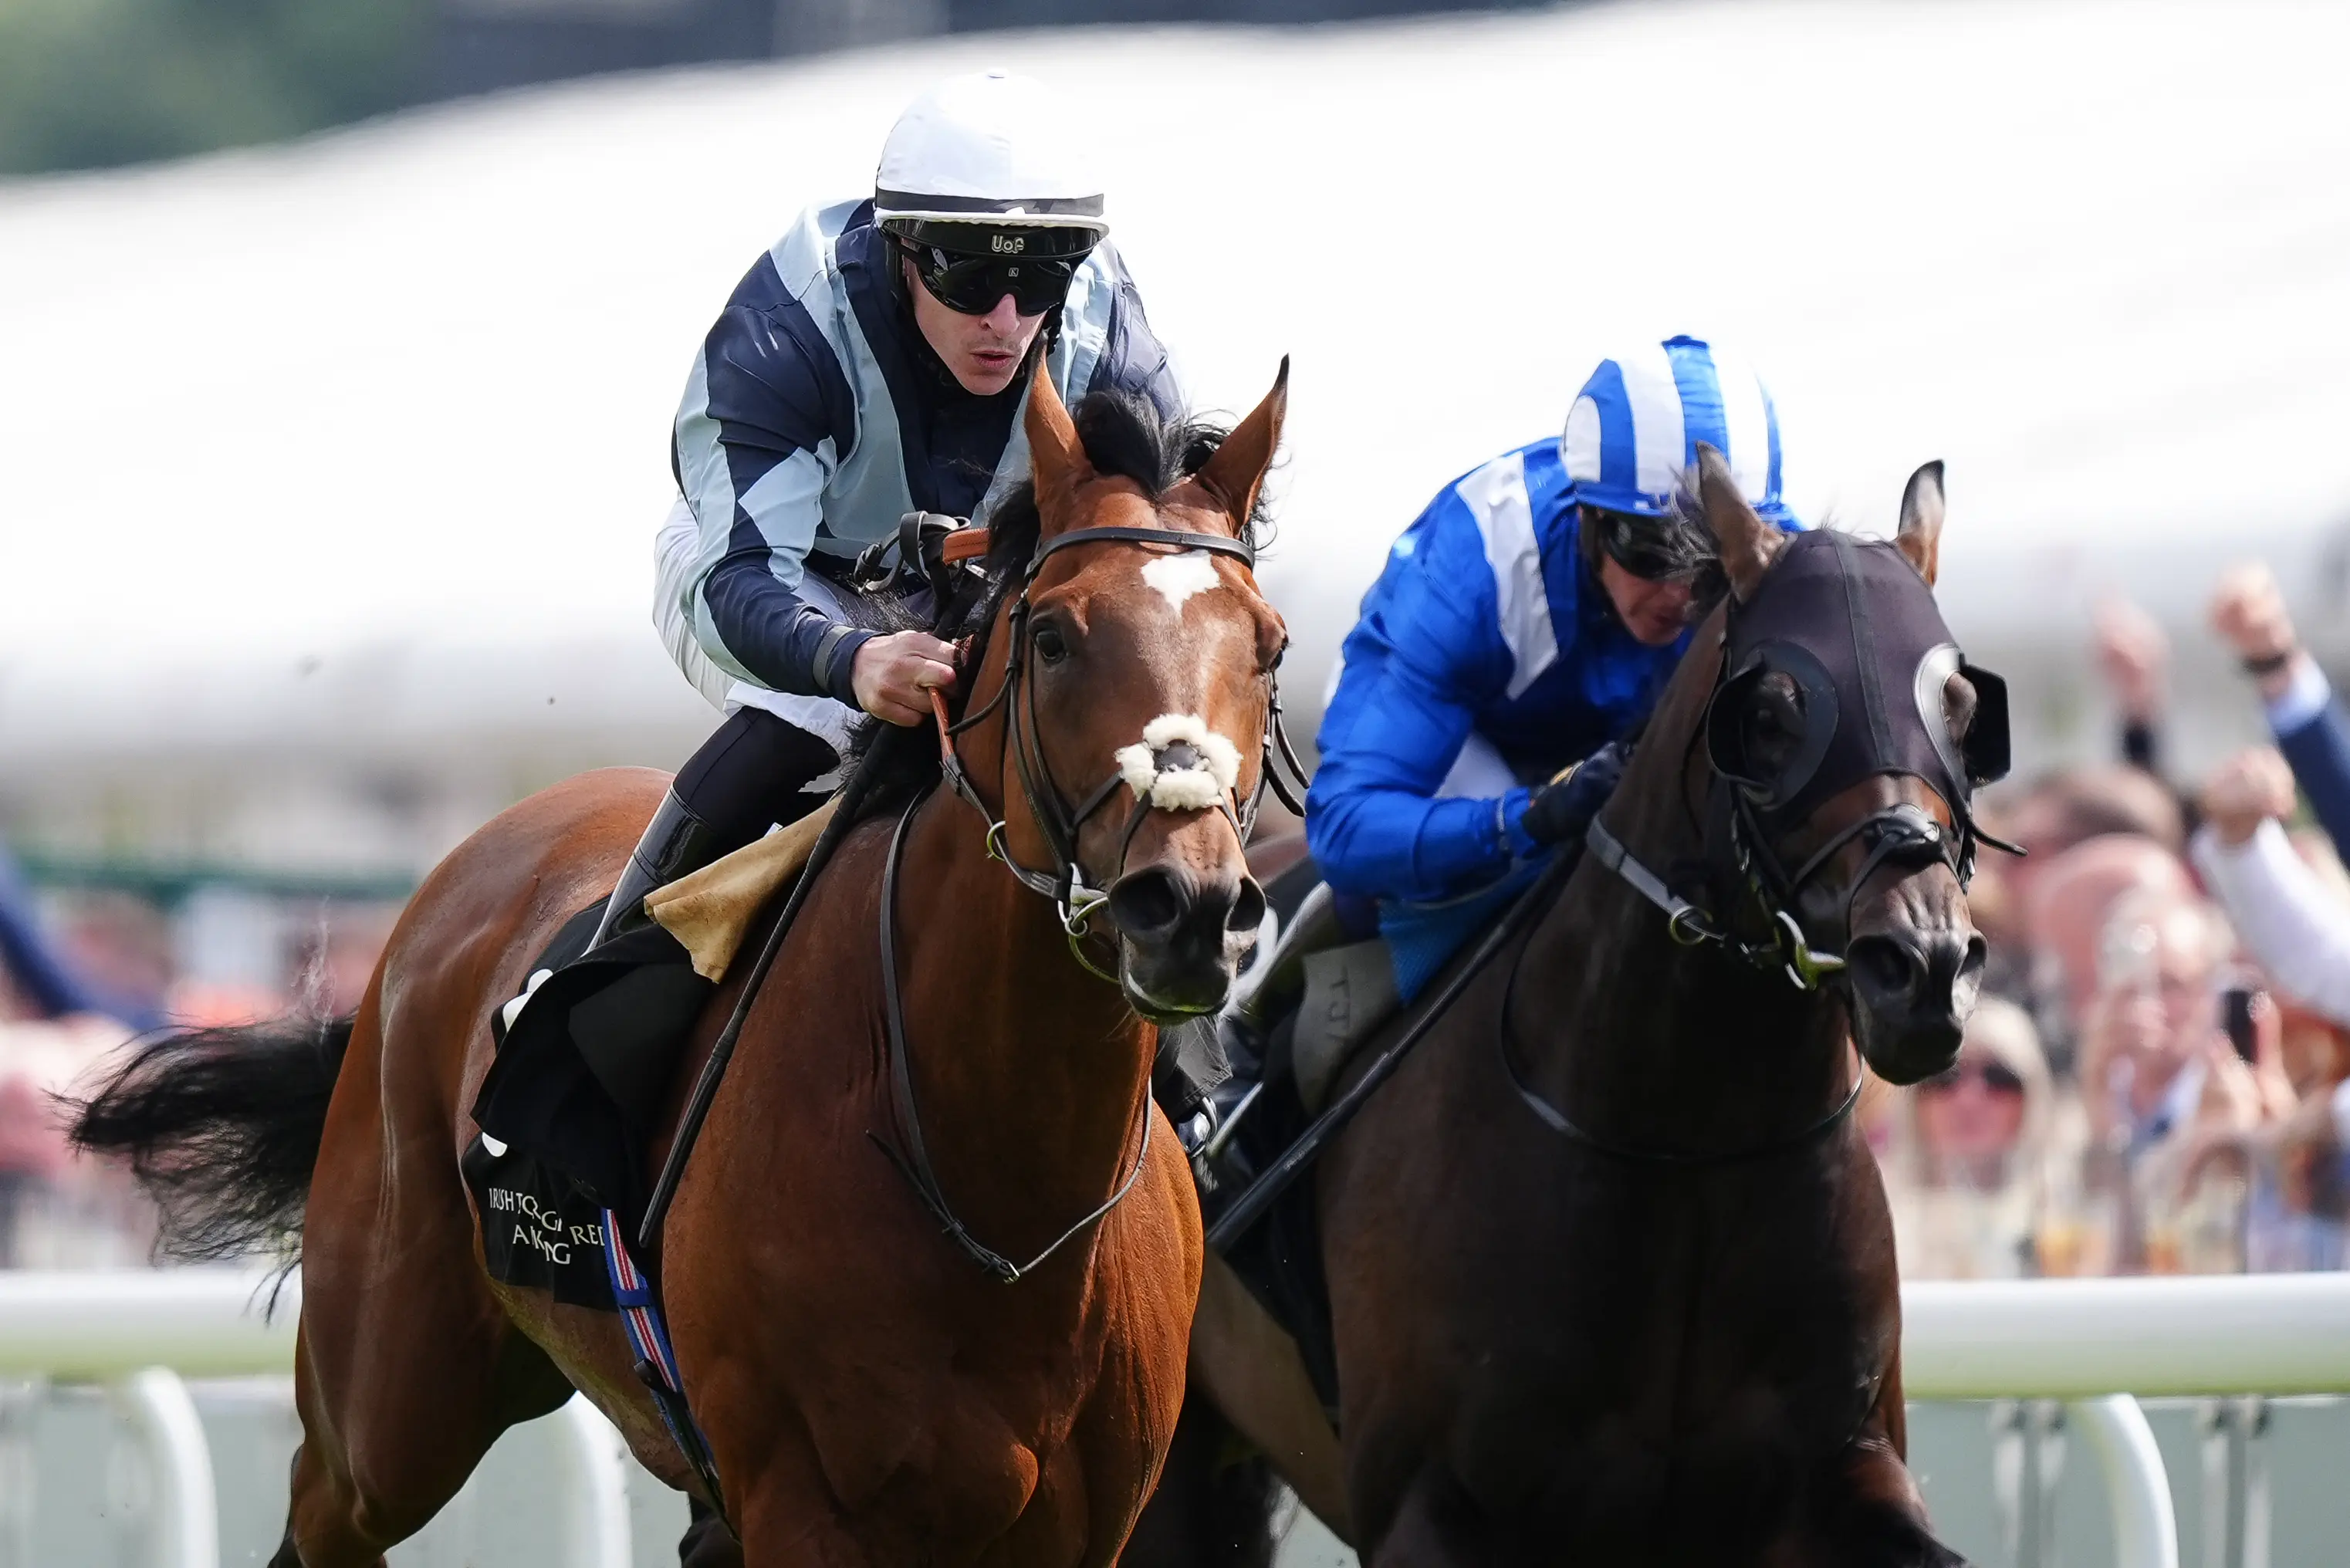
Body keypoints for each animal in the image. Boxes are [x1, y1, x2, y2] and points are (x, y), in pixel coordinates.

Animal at [71, 362, 1297, 1567]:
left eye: (1270, 645)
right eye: (1053, 638)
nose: (1188, 909)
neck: (1006, 1198)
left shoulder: (1088, 1525)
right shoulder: (810, 1507)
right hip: (385, 1410)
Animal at [1136, 448, 1997, 1567]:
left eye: (1964, 713)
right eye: (1769, 717)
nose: (1923, 961)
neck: (1684, 1147)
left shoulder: (1840, 1472)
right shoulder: (1426, 1507)